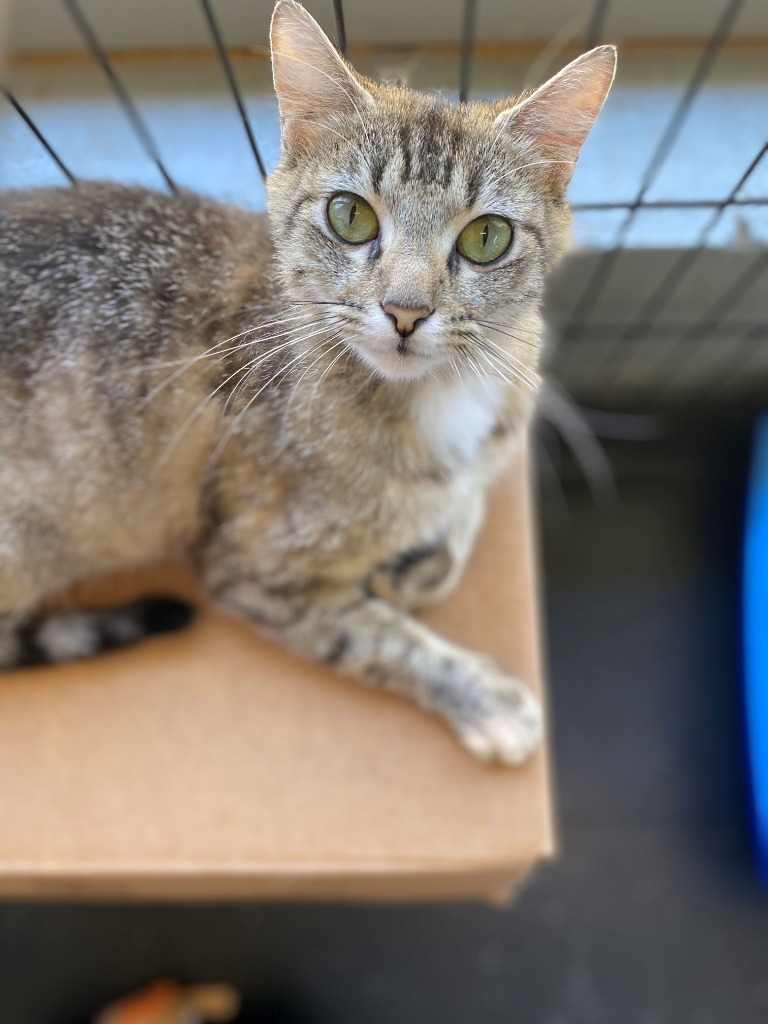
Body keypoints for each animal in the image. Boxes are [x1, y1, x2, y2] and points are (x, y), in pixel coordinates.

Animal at [0, 4, 618, 765]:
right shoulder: (249, 567)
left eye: (487, 238)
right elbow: (377, 637)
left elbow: (468, 493)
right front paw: (480, 694)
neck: (439, 397)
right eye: (350, 216)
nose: (406, 310)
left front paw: (425, 559)